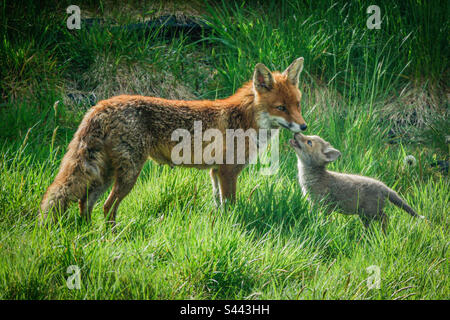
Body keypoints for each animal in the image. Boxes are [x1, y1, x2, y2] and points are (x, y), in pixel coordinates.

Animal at [40, 58, 308, 228]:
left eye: (297, 105)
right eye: (281, 108)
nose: (304, 127)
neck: (246, 119)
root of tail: (101, 105)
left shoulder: (215, 172)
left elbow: (219, 206)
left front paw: (221, 230)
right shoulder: (228, 172)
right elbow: (231, 207)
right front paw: (234, 229)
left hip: (106, 173)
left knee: (85, 203)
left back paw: (87, 235)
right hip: (129, 173)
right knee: (107, 207)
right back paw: (111, 238)